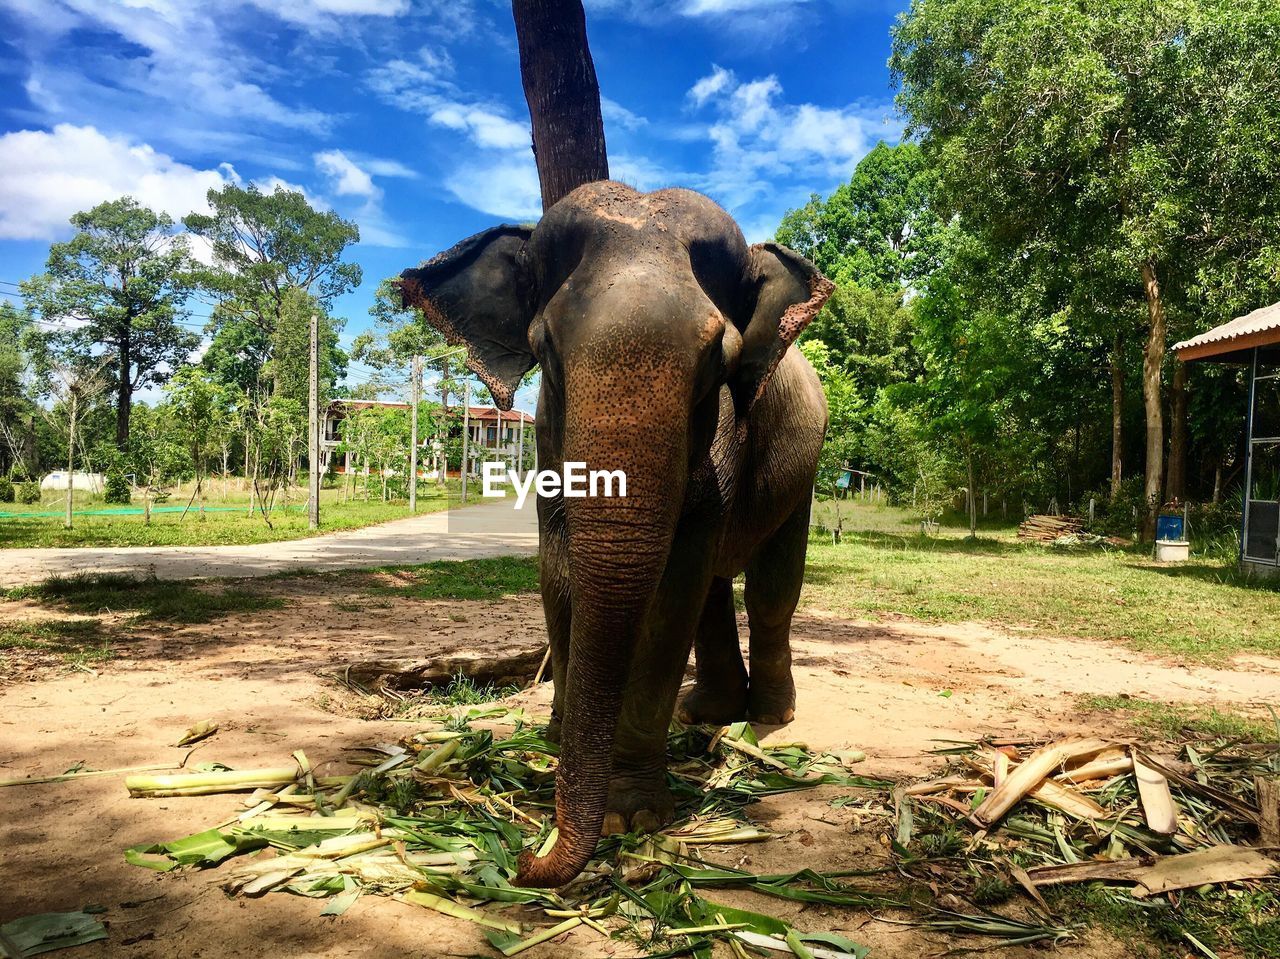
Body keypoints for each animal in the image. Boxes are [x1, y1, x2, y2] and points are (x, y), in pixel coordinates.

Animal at [404, 179, 834, 880]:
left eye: (716, 359)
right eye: (545, 348)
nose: (524, 857)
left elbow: (670, 596)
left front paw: (629, 817)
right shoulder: (549, 441)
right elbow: (558, 574)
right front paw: (557, 740)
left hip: (805, 470)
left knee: (771, 590)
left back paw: (768, 714)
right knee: (714, 592)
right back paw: (706, 712)